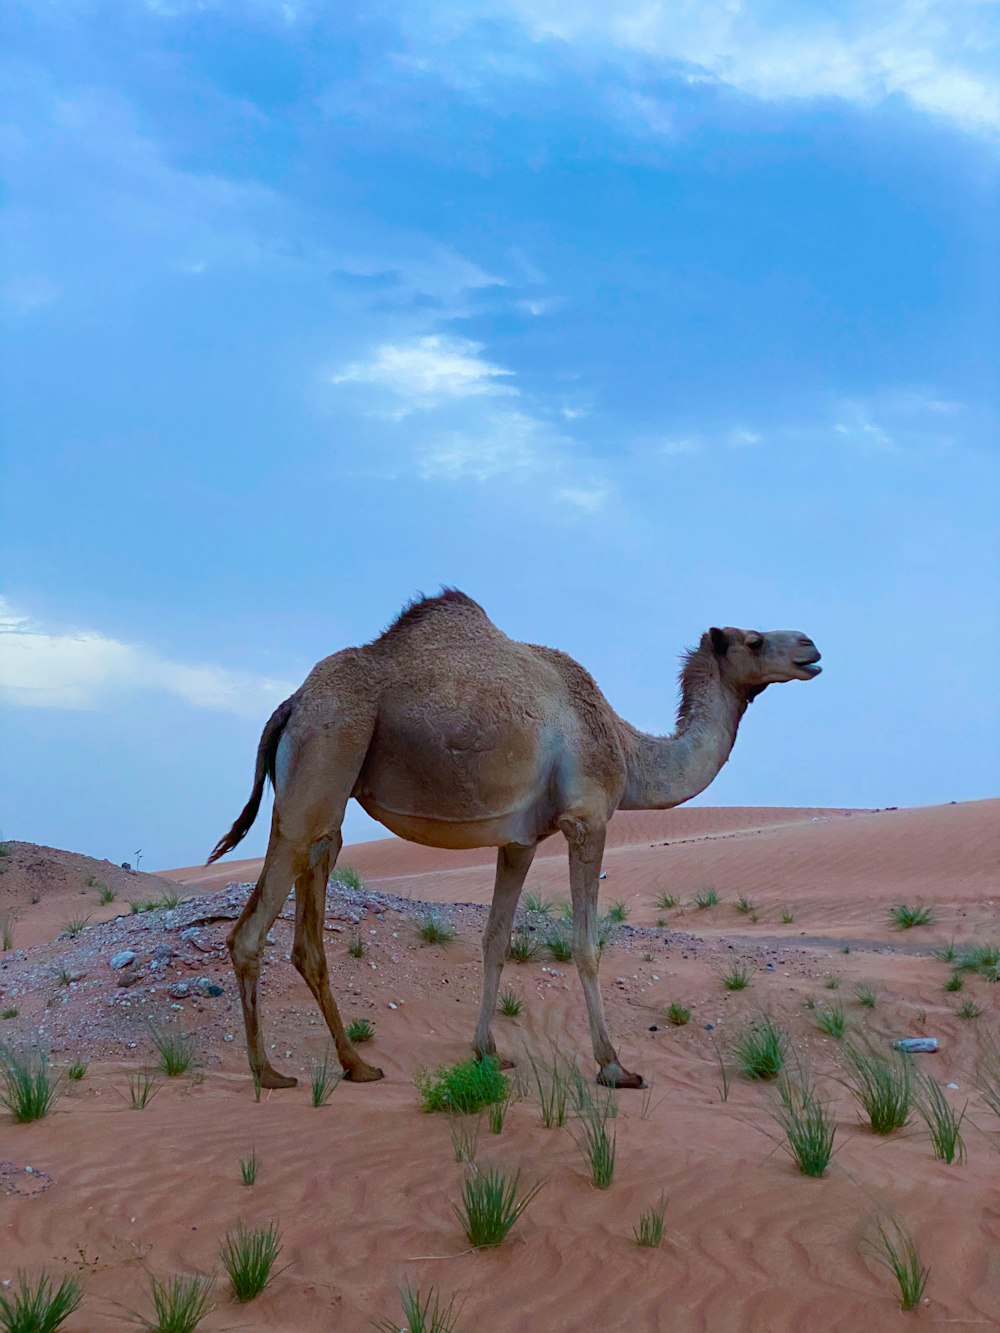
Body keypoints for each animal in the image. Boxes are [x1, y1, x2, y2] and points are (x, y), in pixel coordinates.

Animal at [209, 594, 821, 1093]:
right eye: (754, 639)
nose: (811, 645)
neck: (626, 751)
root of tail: (292, 703)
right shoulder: (587, 819)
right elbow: (586, 945)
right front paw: (614, 1066)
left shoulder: (521, 841)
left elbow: (495, 940)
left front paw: (487, 1052)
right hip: (324, 754)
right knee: (250, 930)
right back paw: (268, 1072)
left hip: (328, 797)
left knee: (309, 926)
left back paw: (357, 1065)